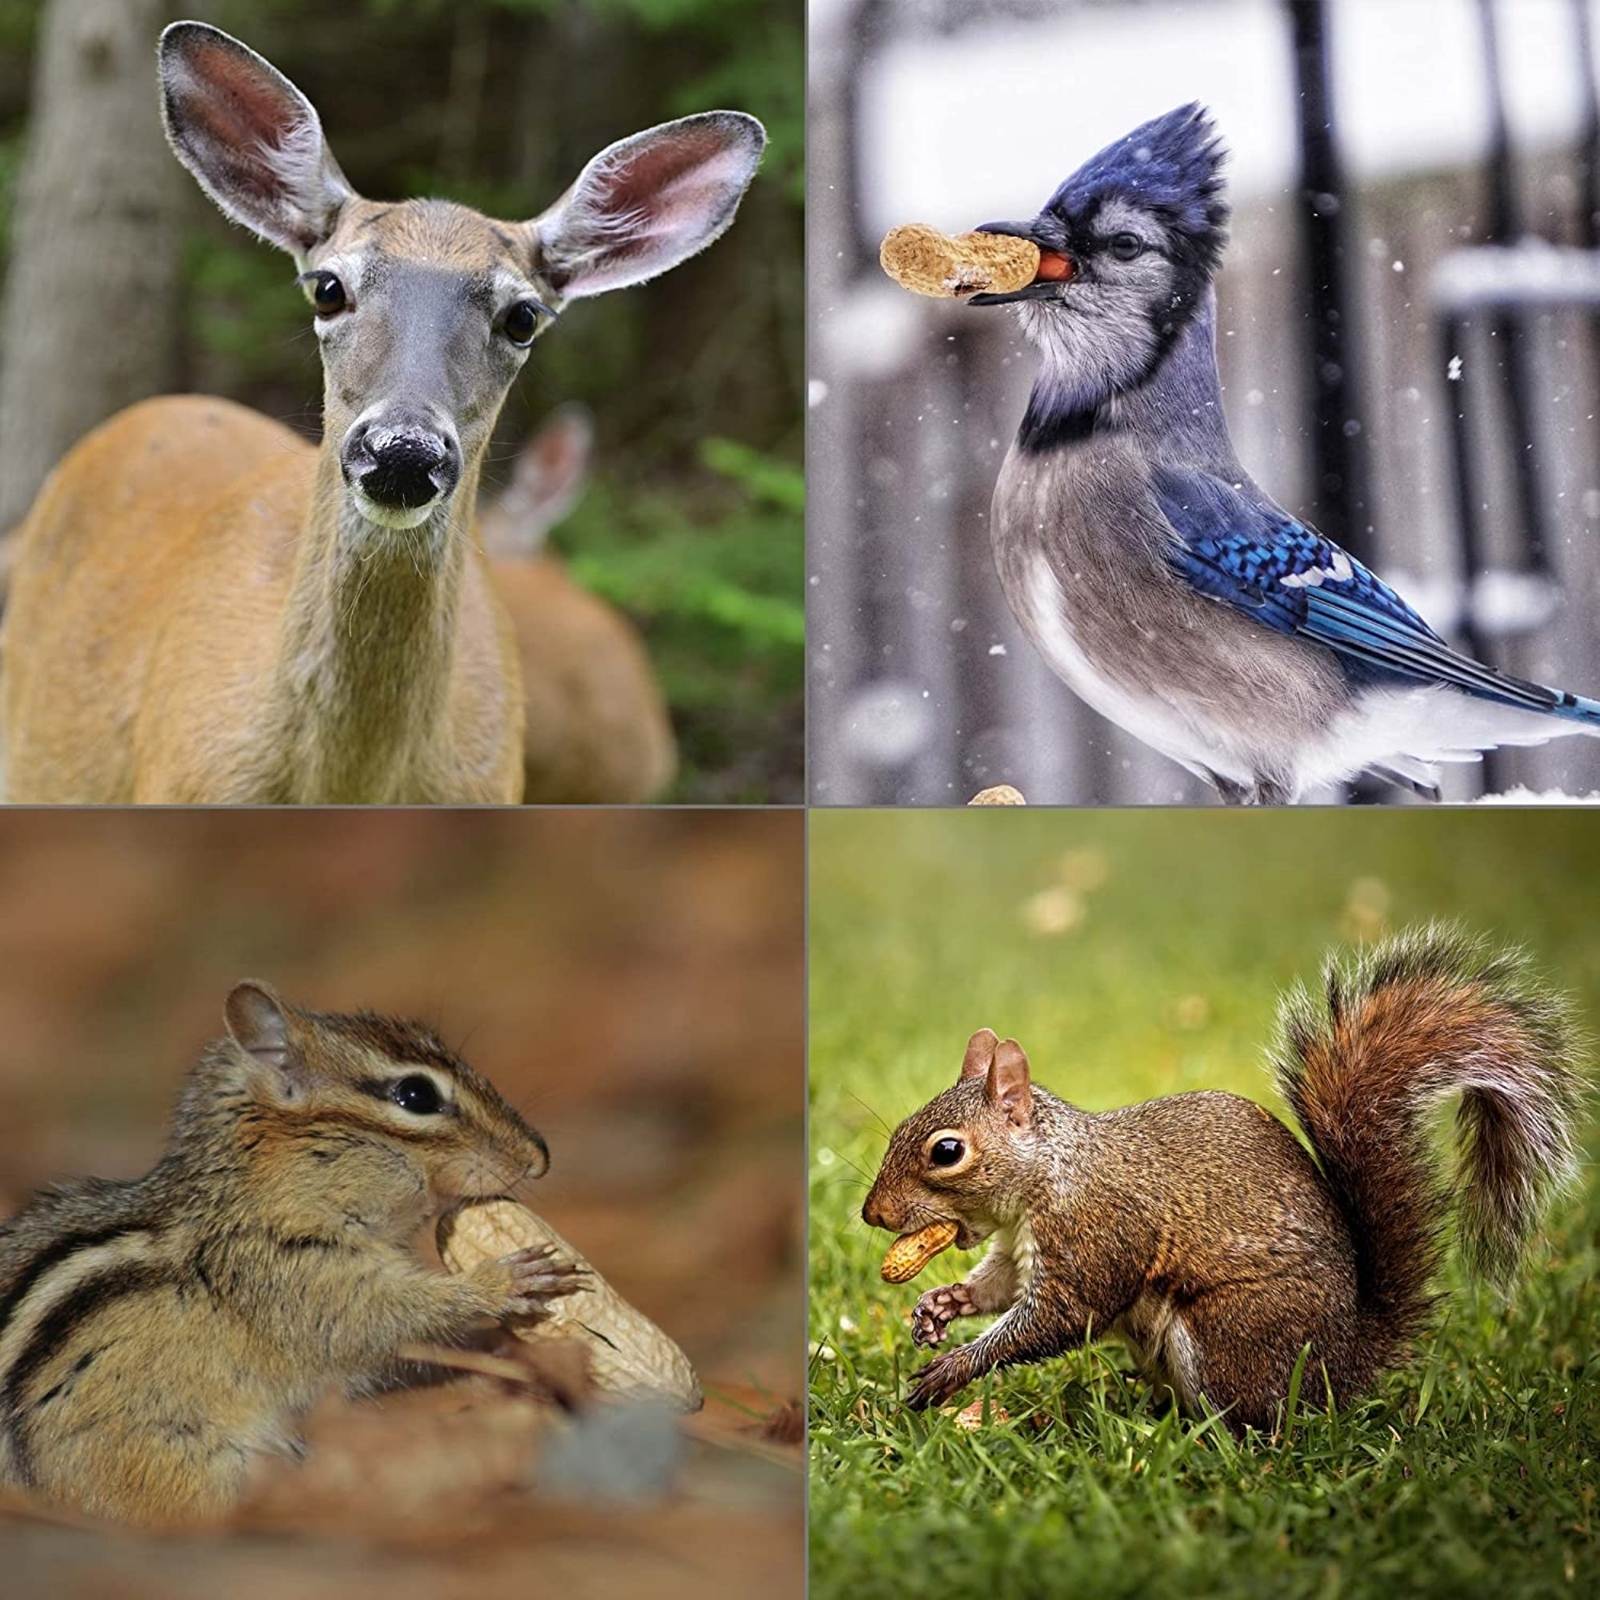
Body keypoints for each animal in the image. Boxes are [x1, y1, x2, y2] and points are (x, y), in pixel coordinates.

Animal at [0, 981, 581, 1525]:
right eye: (416, 1095)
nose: (538, 1157)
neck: (251, 1200)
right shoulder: (294, 1279)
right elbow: (385, 1319)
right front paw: (504, 1283)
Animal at [862, 926, 1587, 1432]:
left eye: (946, 1151)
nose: (874, 1215)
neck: (1048, 1175)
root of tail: (1342, 1366)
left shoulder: (1094, 1236)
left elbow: (1058, 1317)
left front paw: (953, 1367)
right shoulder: (1018, 1247)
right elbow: (999, 1288)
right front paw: (941, 1307)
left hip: (1226, 1334)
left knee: (1255, 1421)